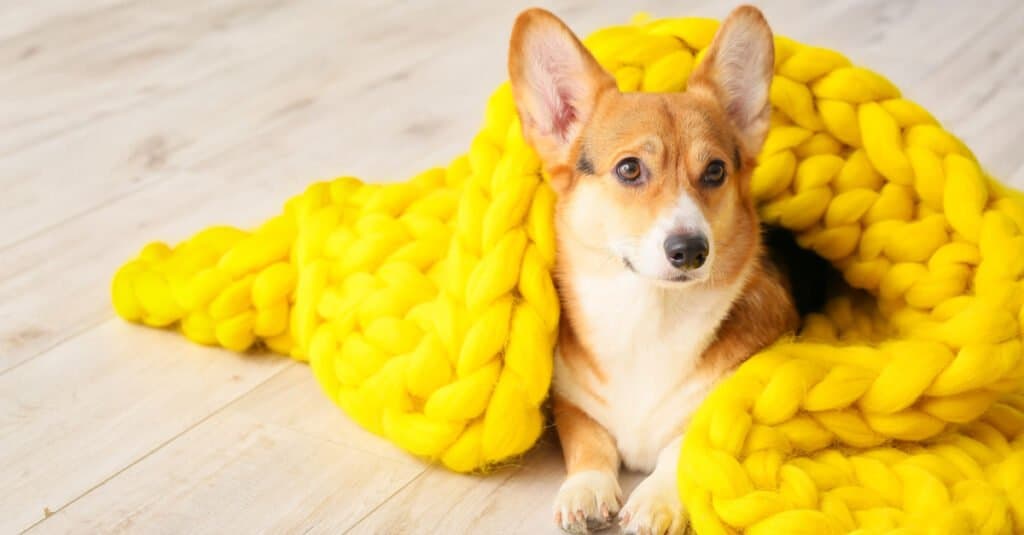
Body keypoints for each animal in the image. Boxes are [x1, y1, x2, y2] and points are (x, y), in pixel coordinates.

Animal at [507, 5, 802, 532]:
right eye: (629, 169)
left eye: (715, 171)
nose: (690, 250)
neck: (649, 313)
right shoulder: (570, 401)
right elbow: (588, 442)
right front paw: (586, 488)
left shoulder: (719, 404)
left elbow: (681, 449)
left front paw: (655, 500)